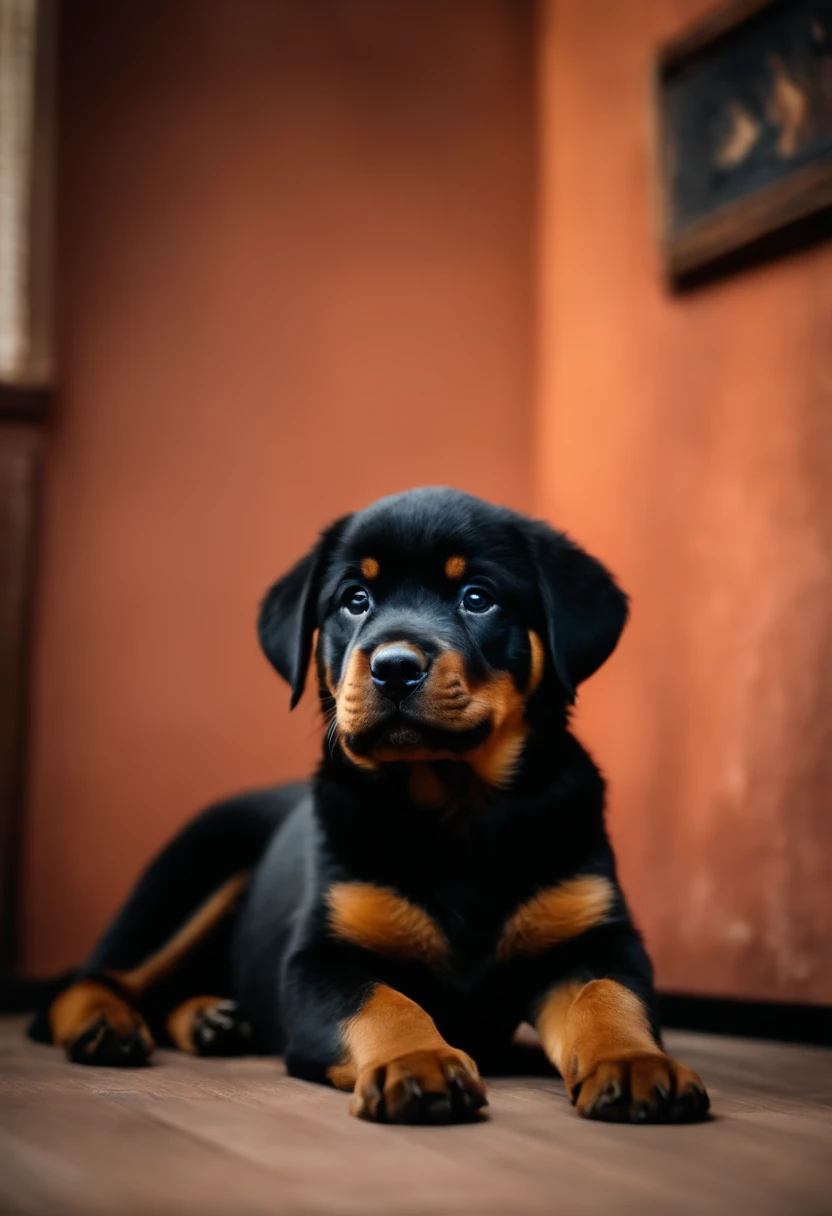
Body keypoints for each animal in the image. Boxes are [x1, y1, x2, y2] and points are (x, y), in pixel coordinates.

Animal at [30, 488, 710, 1123]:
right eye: (354, 599)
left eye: (478, 597)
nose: (394, 667)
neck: (455, 807)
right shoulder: (320, 959)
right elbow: (383, 1001)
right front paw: (420, 1060)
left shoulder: (597, 937)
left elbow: (609, 996)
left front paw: (634, 1062)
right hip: (189, 873)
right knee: (89, 979)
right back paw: (105, 1026)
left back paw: (211, 1021)